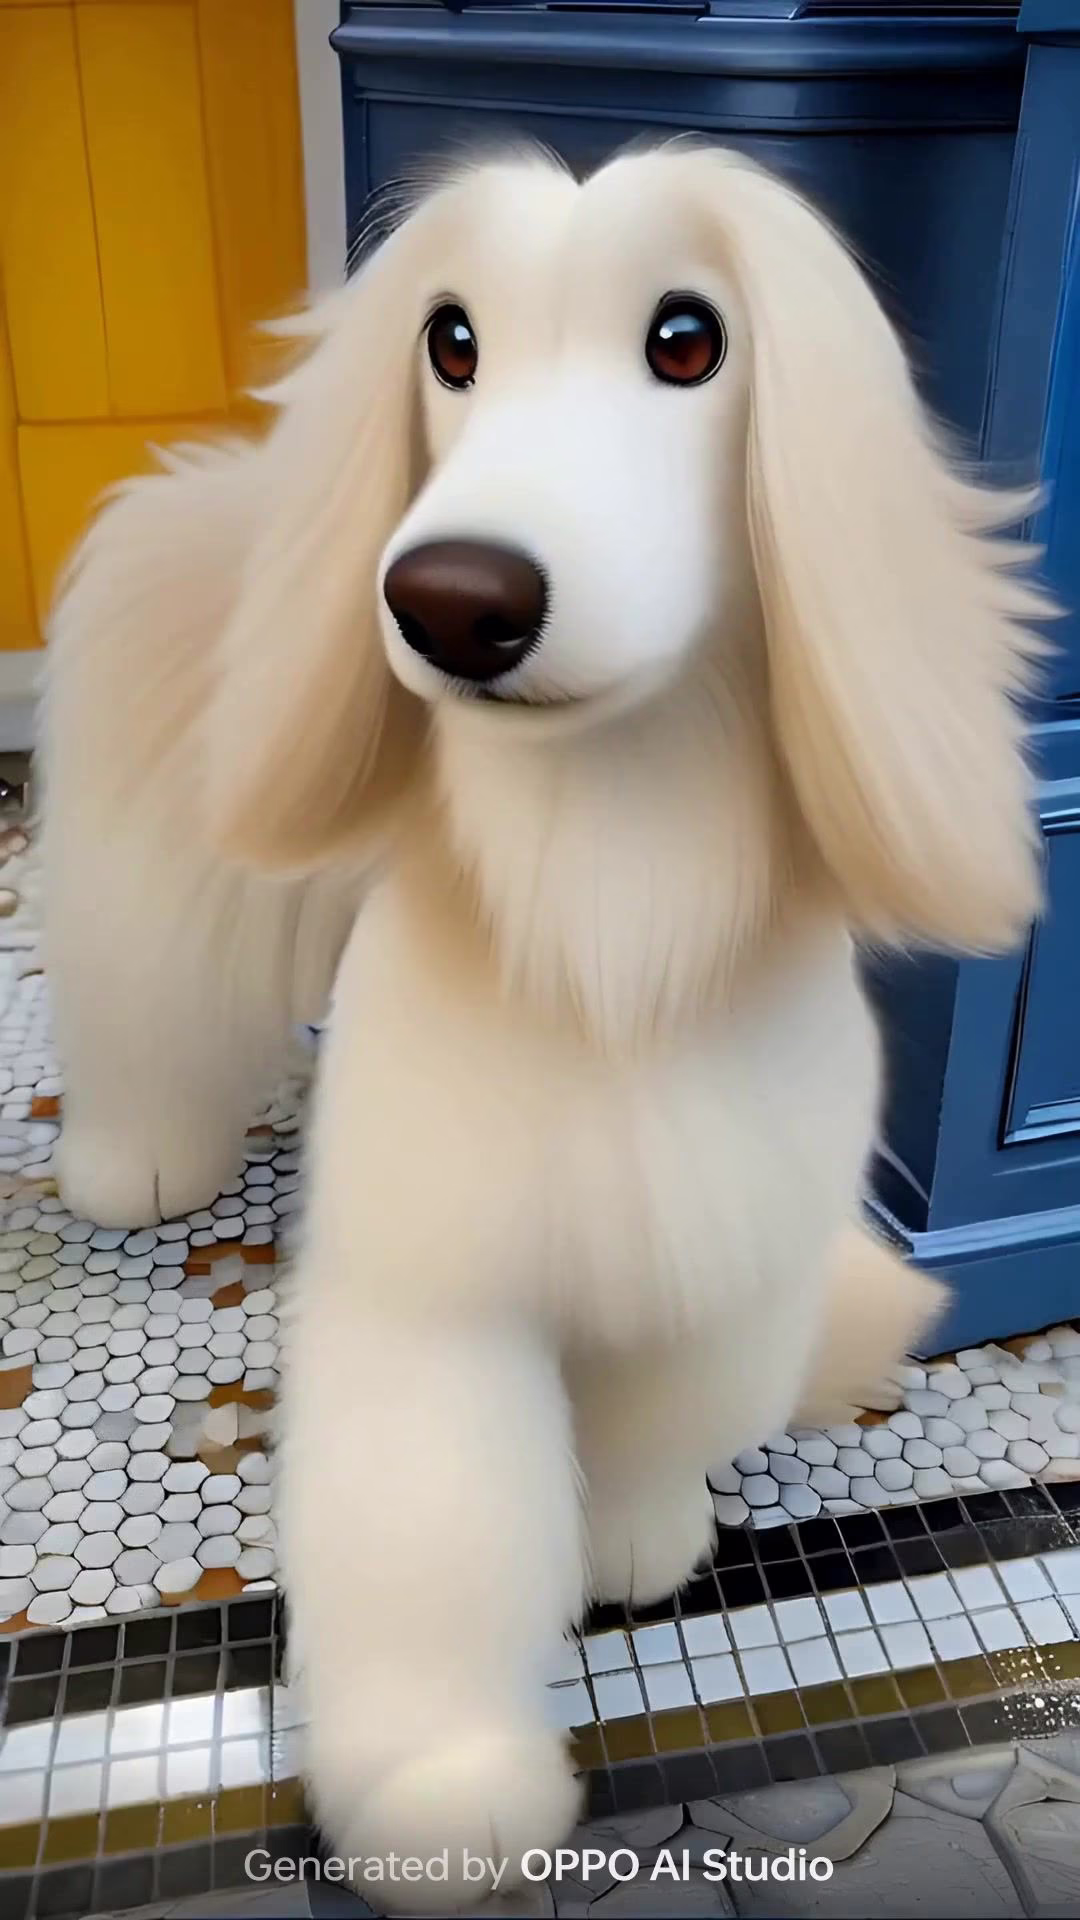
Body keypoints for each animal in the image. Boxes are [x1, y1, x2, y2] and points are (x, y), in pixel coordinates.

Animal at [40, 145, 1049, 1909]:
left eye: (689, 337)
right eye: (451, 340)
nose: (451, 597)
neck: (604, 898)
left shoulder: (709, 1216)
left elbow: (656, 1410)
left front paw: (637, 1535)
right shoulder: (434, 1277)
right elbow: (433, 1526)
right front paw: (442, 1787)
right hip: (154, 886)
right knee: (142, 1012)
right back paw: (135, 1161)